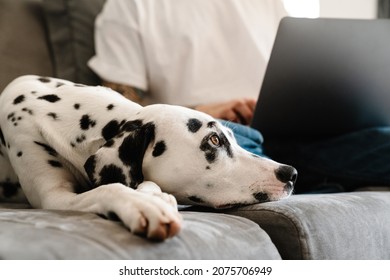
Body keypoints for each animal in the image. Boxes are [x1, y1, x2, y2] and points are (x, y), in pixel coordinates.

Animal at [0, 75, 298, 241]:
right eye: (214, 140)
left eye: (232, 137)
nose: (291, 173)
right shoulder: (54, 197)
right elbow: (111, 188)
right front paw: (143, 205)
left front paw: (154, 195)